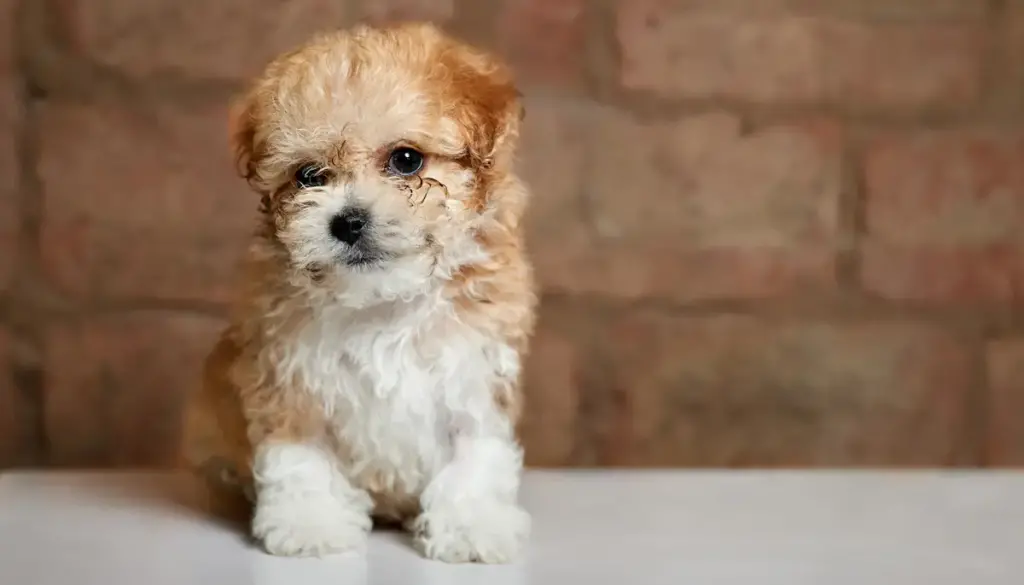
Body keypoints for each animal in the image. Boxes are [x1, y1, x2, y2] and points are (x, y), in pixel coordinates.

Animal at [178, 20, 536, 565]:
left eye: (406, 160)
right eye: (309, 176)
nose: (347, 221)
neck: (383, 300)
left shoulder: (475, 372)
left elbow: (476, 455)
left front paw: (472, 525)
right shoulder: (285, 376)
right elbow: (299, 456)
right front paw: (310, 522)